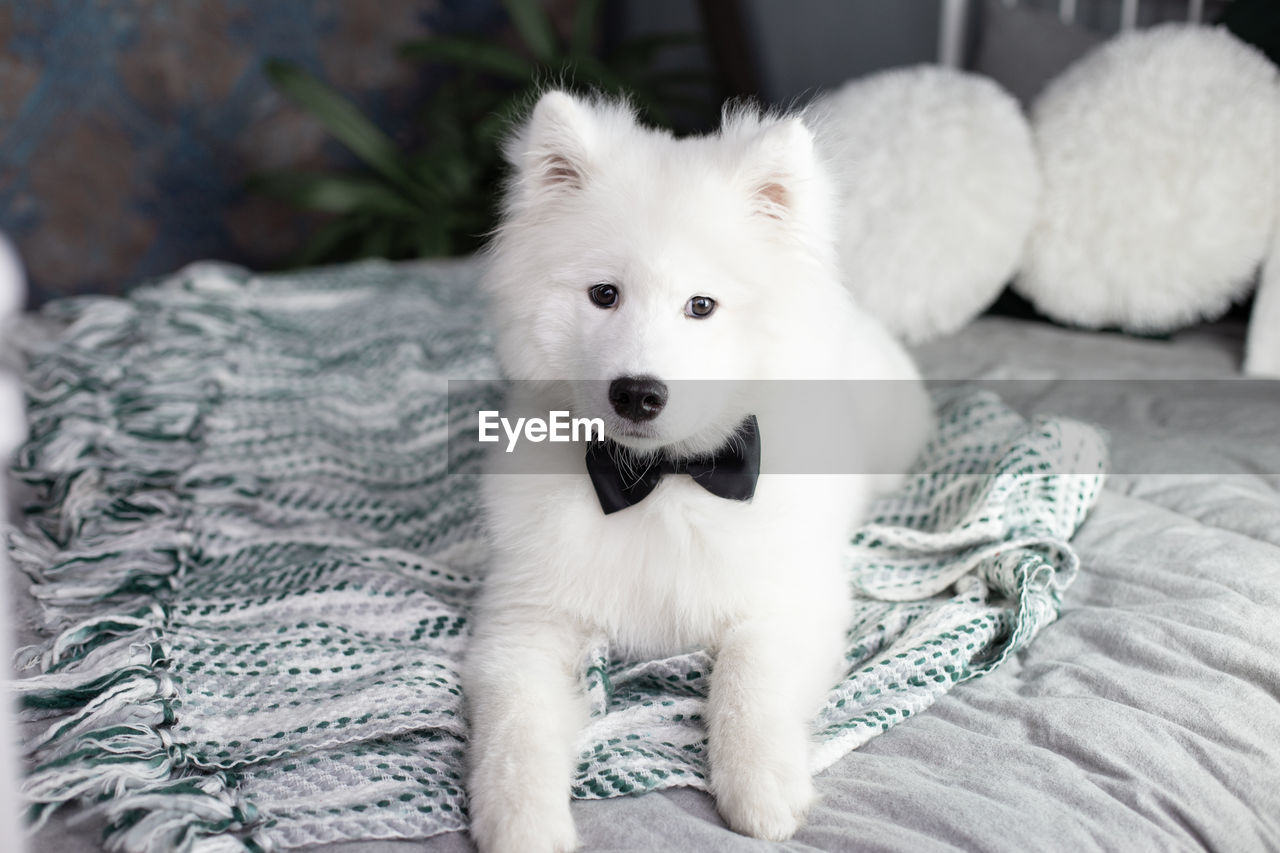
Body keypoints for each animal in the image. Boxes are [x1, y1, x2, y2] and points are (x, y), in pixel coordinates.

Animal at [465, 89, 926, 845]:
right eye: (604, 294)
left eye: (701, 306)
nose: (638, 393)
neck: (659, 479)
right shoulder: (524, 619)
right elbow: (516, 728)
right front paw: (520, 820)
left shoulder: (791, 598)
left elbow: (746, 681)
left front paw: (761, 786)